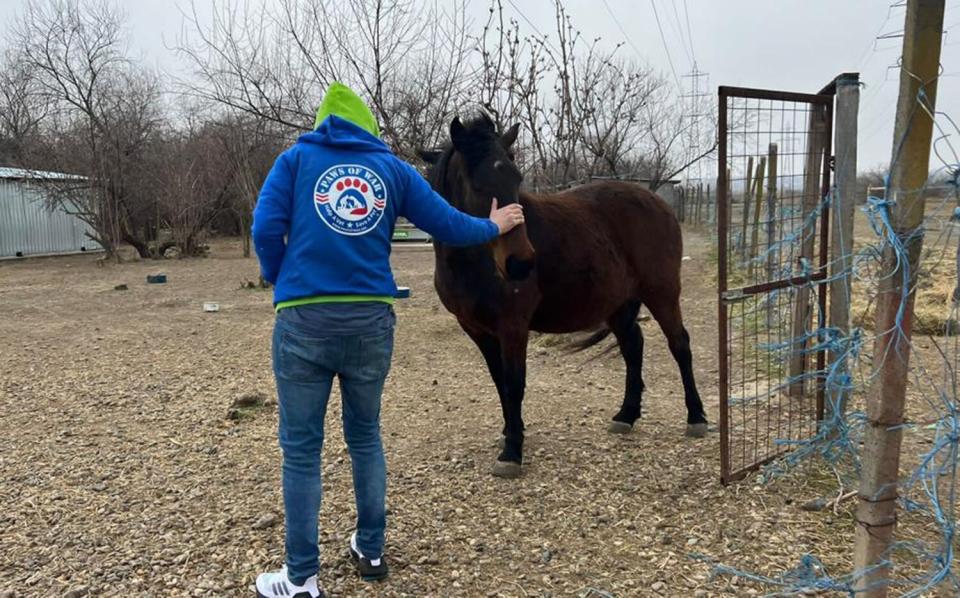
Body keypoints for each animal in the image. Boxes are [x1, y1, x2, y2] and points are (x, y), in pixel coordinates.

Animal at [424, 115, 708, 478]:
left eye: (516, 178)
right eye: (477, 185)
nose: (520, 263)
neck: (475, 263)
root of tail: (655, 200)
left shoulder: (513, 326)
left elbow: (514, 382)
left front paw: (512, 451)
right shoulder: (477, 330)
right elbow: (500, 381)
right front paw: (511, 431)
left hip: (662, 292)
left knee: (679, 344)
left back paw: (696, 417)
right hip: (618, 303)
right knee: (633, 346)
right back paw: (626, 415)